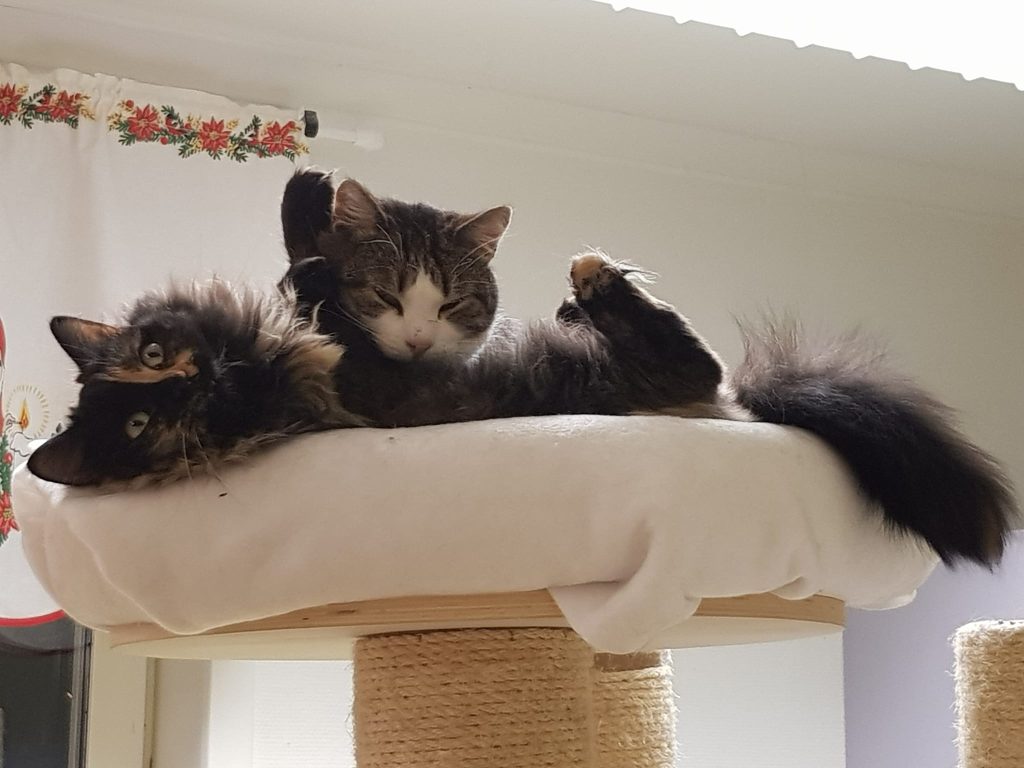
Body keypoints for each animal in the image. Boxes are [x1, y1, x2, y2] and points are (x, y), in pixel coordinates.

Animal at [27, 251, 1016, 567]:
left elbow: (319, 302)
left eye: (154, 355)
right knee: (689, 352)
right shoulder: (349, 387)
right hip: (653, 378)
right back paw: (598, 283)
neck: (259, 378)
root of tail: (732, 412)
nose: (189, 387)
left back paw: (588, 289)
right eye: (142, 428)